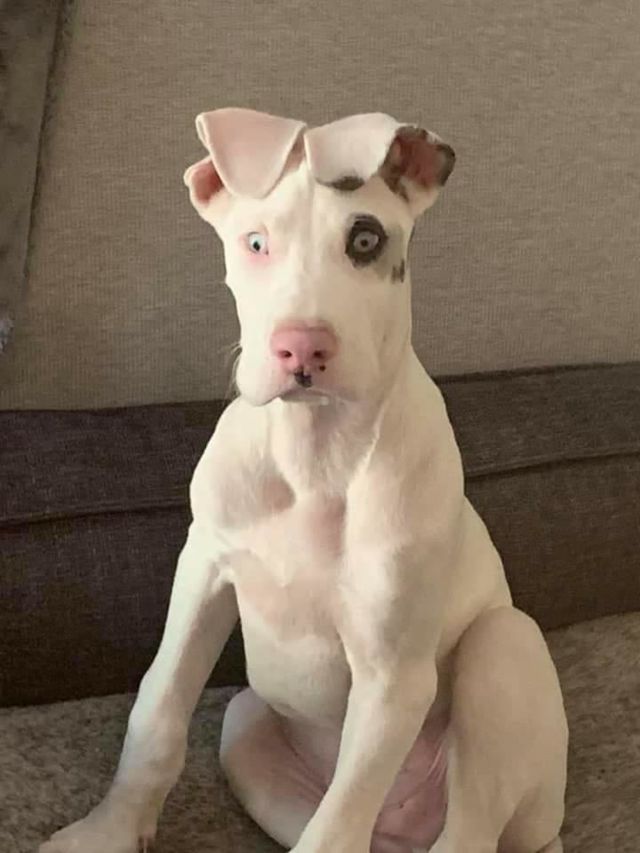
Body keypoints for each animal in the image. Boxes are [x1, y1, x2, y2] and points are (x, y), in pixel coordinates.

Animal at [40, 109, 568, 853]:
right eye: (256, 242)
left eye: (366, 240)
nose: (301, 347)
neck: (315, 455)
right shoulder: (204, 570)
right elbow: (158, 705)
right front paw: (108, 829)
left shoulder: (391, 680)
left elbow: (338, 823)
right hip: (246, 728)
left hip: (504, 649)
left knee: (466, 830)